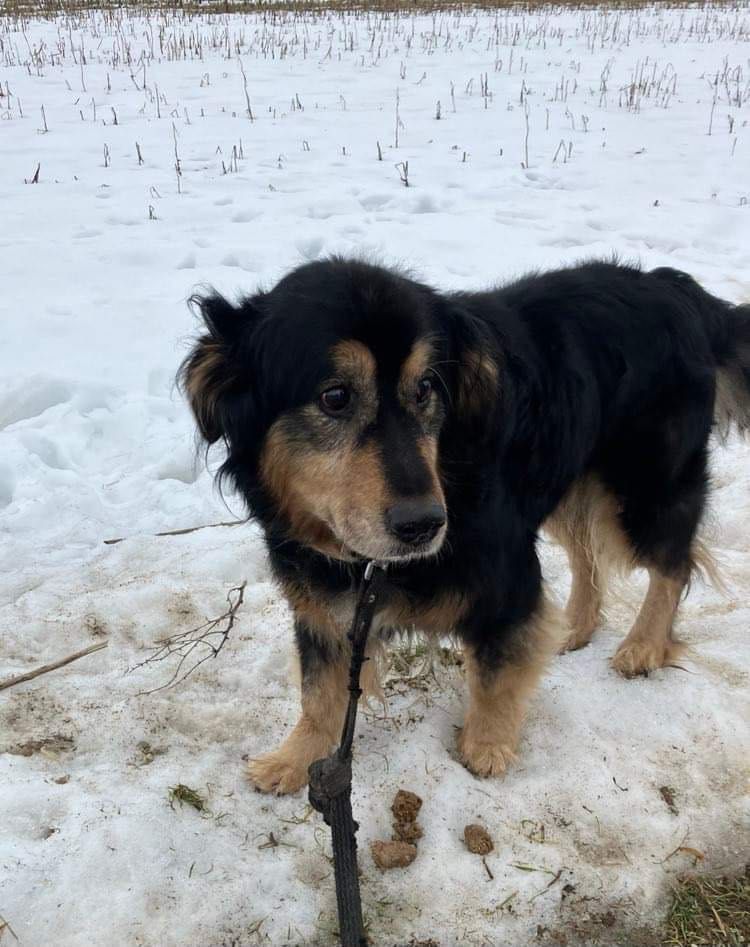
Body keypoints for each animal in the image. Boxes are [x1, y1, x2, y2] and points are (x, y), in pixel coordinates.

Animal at [182, 258, 750, 792]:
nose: (424, 526)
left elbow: (496, 674)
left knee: (672, 564)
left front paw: (487, 746)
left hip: (641, 488)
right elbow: (319, 690)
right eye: (335, 396)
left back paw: (642, 647)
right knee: (587, 553)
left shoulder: (509, 575)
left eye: (426, 387)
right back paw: (573, 626)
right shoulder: (322, 601)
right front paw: (295, 759)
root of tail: (675, 288)